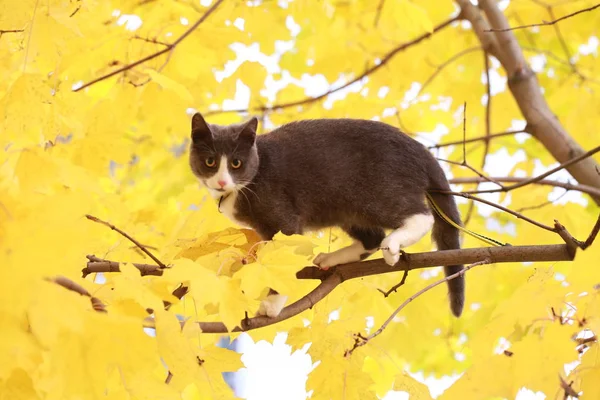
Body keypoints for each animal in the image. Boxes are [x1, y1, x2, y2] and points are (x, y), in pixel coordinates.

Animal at [188, 111, 464, 318]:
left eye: (236, 163)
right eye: (211, 161)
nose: (221, 182)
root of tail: (418, 148)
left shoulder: (283, 218)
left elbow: (285, 254)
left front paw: (272, 304)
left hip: (376, 192)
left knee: (420, 216)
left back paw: (393, 245)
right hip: (345, 208)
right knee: (371, 238)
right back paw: (332, 259)